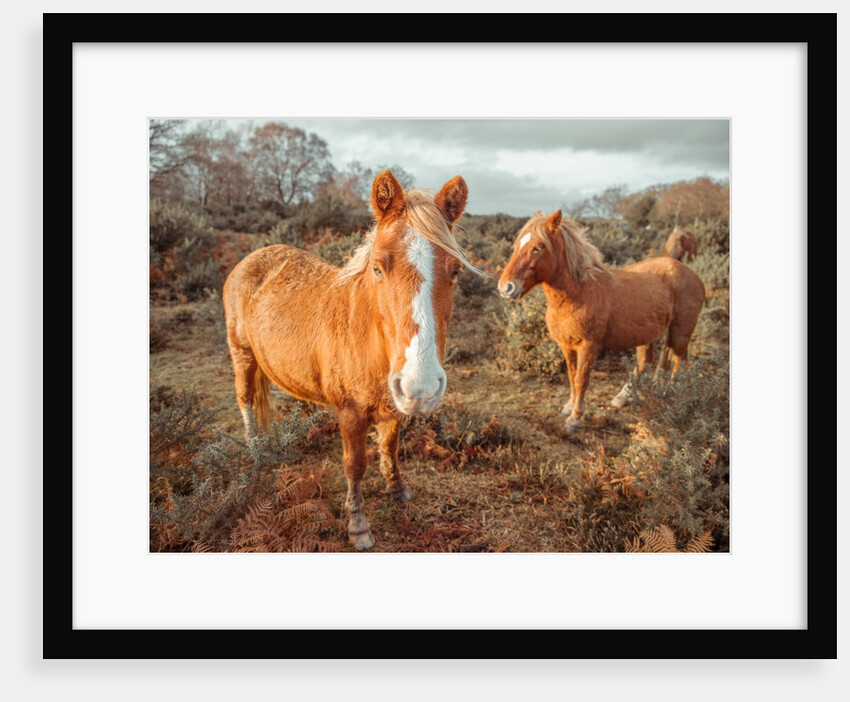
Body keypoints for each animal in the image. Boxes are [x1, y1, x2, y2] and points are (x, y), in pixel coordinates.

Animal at [222, 170, 475, 549]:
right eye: (378, 268)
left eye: (455, 271)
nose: (421, 387)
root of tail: (253, 257)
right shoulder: (350, 413)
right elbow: (354, 465)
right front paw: (358, 526)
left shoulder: (393, 405)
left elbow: (390, 445)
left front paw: (397, 488)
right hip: (242, 354)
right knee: (245, 399)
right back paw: (255, 450)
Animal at [497, 210, 705, 432]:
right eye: (517, 245)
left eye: (537, 248)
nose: (505, 287)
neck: (578, 294)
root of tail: (690, 273)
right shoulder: (566, 346)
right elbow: (571, 376)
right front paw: (568, 407)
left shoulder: (588, 347)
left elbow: (581, 380)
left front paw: (574, 419)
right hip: (649, 334)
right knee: (647, 361)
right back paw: (623, 397)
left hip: (681, 331)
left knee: (678, 359)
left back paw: (672, 394)